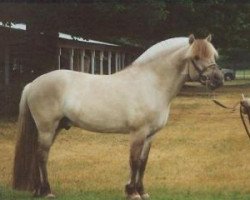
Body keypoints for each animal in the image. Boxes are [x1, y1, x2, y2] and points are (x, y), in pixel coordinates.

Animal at [12, 35, 224, 199]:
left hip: (54, 128)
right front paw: (132, 192)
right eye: (196, 56)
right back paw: (47, 191)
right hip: (47, 128)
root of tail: (33, 83)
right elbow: (134, 161)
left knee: (38, 155)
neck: (151, 83)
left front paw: (141, 191)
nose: (218, 79)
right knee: (42, 156)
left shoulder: (150, 135)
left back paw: (38, 190)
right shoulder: (138, 133)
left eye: (213, 55)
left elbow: (144, 162)